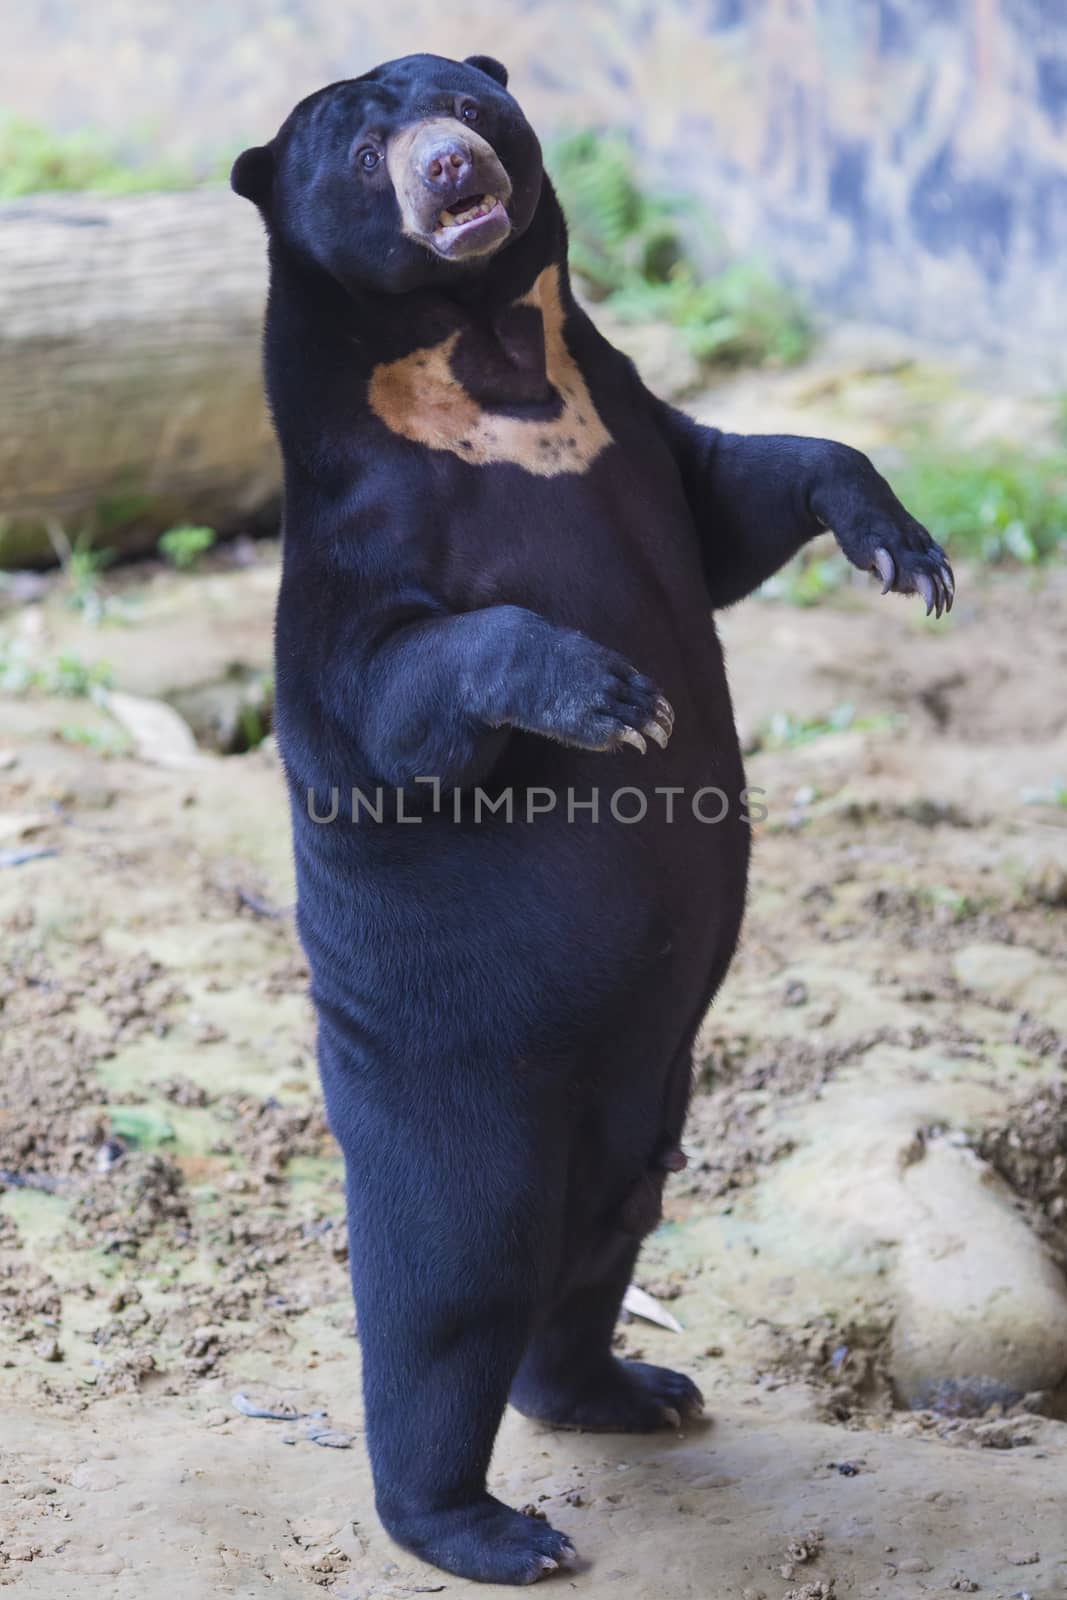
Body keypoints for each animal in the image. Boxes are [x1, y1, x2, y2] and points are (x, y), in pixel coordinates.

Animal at [231, 53, 953, 1587]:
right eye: (367, 147)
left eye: (462, 105)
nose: (455, 173)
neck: (488, 353)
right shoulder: (356, 542)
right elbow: (381, 695)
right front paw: (611, 696)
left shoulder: (629, 424)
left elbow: (746, 486)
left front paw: (902, 549)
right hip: (449, 1082)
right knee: (449, 1287)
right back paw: (486, 1528)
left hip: (643, 1086)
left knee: (600, 1239)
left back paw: (631, 1388)